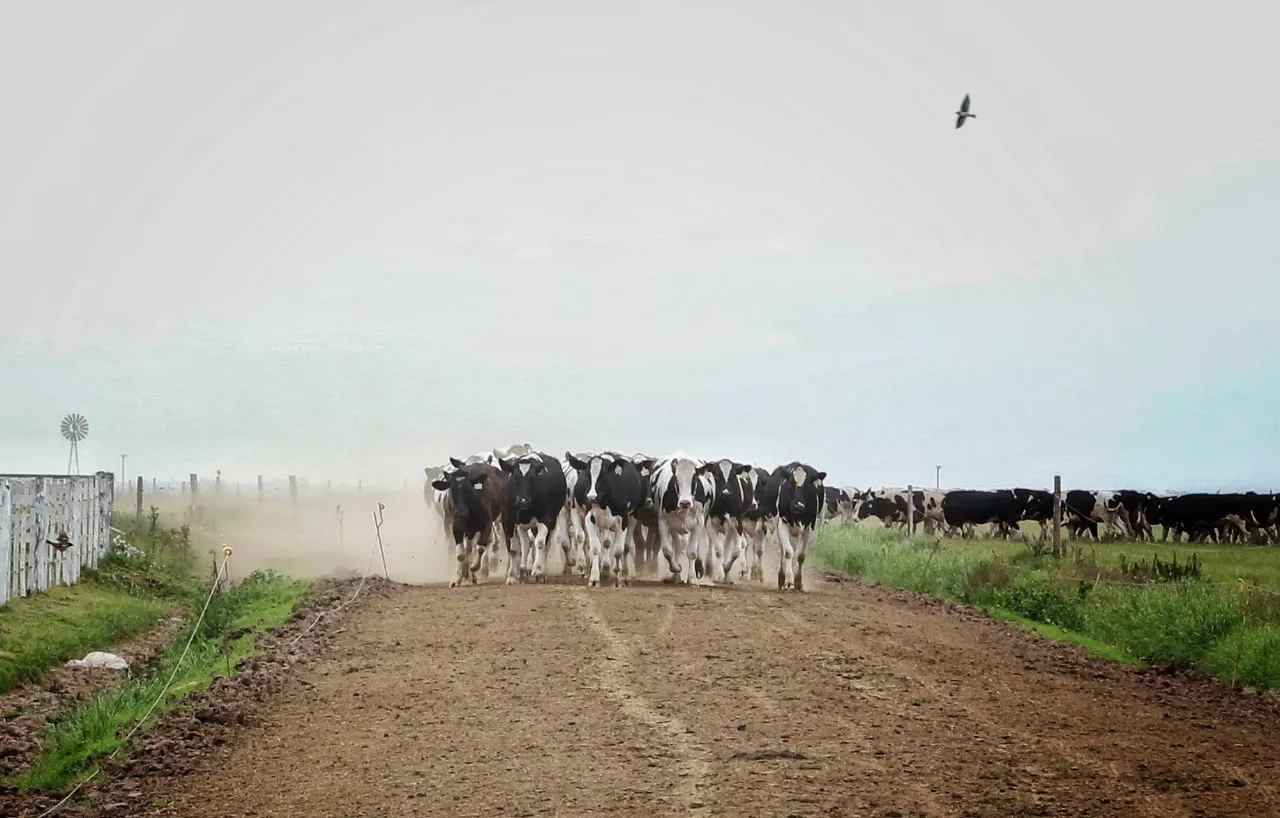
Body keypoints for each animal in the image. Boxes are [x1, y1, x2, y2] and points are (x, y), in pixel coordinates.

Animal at [430, 457, 505, 587]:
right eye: (452, 491)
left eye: (468, 489)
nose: (461, 512)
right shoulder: (456, 527)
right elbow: (461, 554)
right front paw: (457, 578)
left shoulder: (487, 525)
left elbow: (481, 547)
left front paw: (474, 566)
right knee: (468, 550)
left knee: (474, 548)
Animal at [498, 451, 570, 584]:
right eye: (515, 478)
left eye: (533, 479)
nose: (523, 501)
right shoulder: (507, 520)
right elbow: (514, 549)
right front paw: (512, 577)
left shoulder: (545, 519)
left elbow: (540, 543)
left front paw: (538, 571)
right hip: (522, 526)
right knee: (525, 543)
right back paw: (522, 570)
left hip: (553, 521)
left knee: (546, 544)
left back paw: (542, 571)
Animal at [566, 451, 645, 587]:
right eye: (587, 475)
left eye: (604, 475)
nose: (591, 497)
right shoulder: (590, 518)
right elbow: (595, 547)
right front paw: (594, 577)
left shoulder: (623, 519)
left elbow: (618, 550)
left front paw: (617, 577)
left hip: (631, 518)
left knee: (625, 546)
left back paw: (623, 574)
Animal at [648, 452, 715, 584]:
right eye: (675, 479)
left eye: (694, 478)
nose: (685, 502)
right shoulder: (663, 521)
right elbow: (667, 551)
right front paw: (676, 568)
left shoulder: (698, 523)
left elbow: (692, 552)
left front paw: (692, 578)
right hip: (675, 527)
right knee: (678, 546)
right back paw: (676, 576)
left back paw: (699, 566)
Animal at [766, 461, 826, 591]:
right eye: (790, 485)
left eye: (808, 487)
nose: (798, 507)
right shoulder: (782, 525)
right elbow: (788, 552)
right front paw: (789, 581)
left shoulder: (809, 528)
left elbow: (801, 556)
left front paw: (798, 582)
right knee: (783, 551)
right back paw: (782, 578)